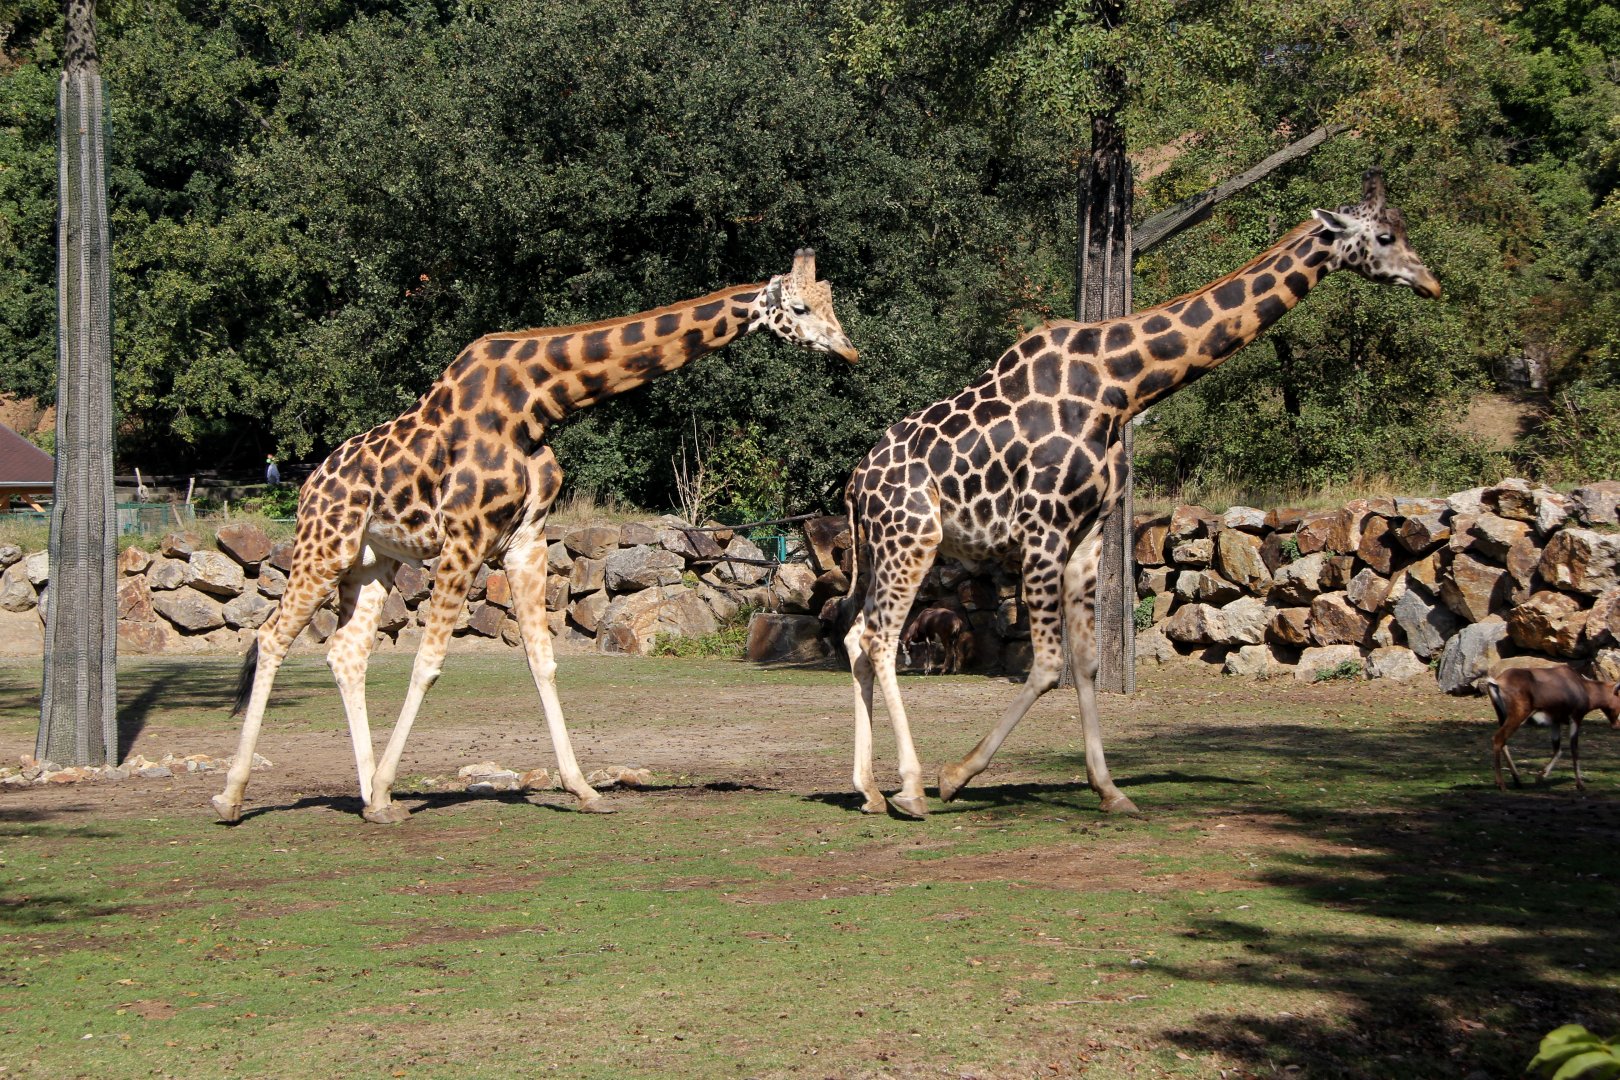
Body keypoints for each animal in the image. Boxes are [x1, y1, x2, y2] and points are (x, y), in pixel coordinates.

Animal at [213, 249, 857, 825]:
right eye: (799, 307)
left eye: (832, 301)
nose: (849, 349)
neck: (537, 403)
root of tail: (308, 485)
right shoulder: (466, 537)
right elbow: (429, 660)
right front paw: (392, 789)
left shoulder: (525, 538)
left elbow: (542, 659)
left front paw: (584, 790)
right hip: (325, 546)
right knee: (271, 638)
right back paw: (233, 797)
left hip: (373, 562)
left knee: (346, 653)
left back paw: (367, 791)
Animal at [840, 169, 1441, 819]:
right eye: (1385, 235)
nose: (1431, 282)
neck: (1120, 388)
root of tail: (855, 484)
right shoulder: (1042, 531)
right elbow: (1047, 665)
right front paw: (955, 776)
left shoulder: (1084, 534)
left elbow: (1085, 663)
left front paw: (1110, 790)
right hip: (912, 539)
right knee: (880, 638)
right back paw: (911, 788)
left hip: (886, 547)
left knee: (854, 636)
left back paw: (868, 790)